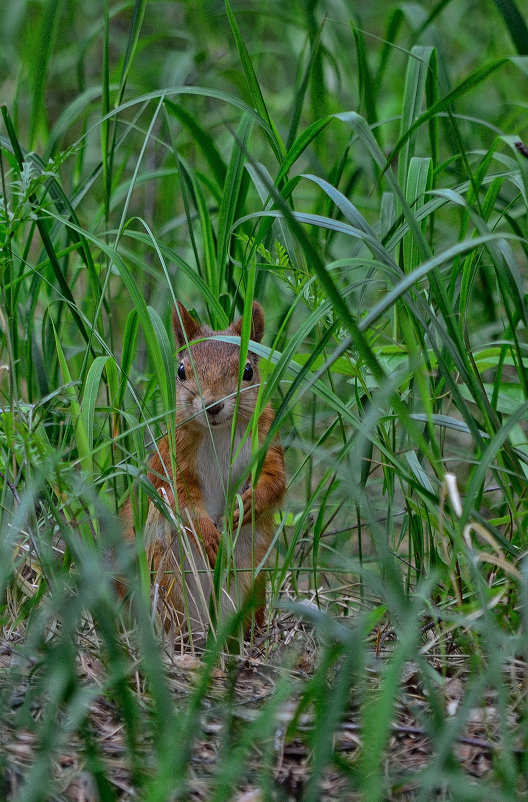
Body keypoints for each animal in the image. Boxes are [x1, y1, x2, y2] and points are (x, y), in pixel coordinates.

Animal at [121, 300, 286, 636]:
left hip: (253, 585)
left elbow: (275, 481)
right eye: (182, 370)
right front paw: (207, 536)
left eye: (248, 370)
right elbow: (180, 497)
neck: (220, 433)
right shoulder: (173, 460)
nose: (213, 405)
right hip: (167, 579)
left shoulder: (267, 443)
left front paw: (247, 505)